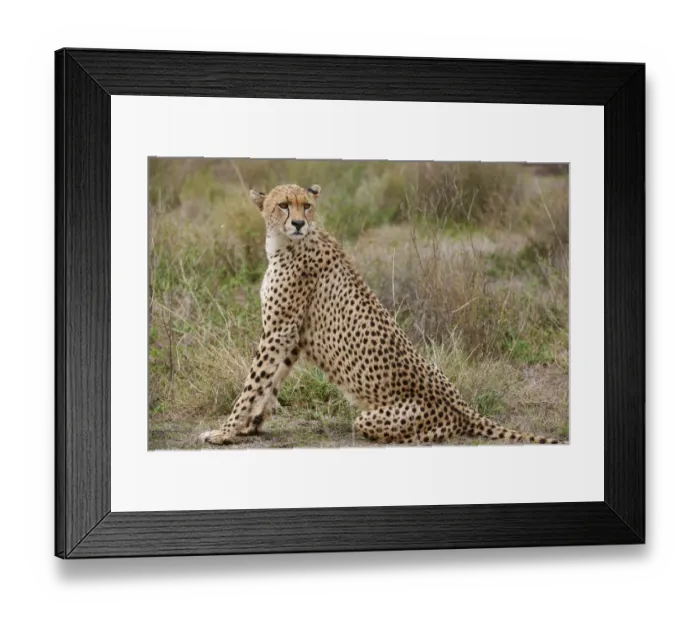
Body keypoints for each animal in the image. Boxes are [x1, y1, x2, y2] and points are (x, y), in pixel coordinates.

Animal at [199, 183, 563, 446]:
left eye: (307, 205)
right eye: (284, 205)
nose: (300, 223)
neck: (284, 243)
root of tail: (462, 406)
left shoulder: (280, 330)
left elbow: (252, 383)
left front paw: (225, 431)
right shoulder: (291, 336)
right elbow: (269, 383)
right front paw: (249, 426)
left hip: (377, 418)